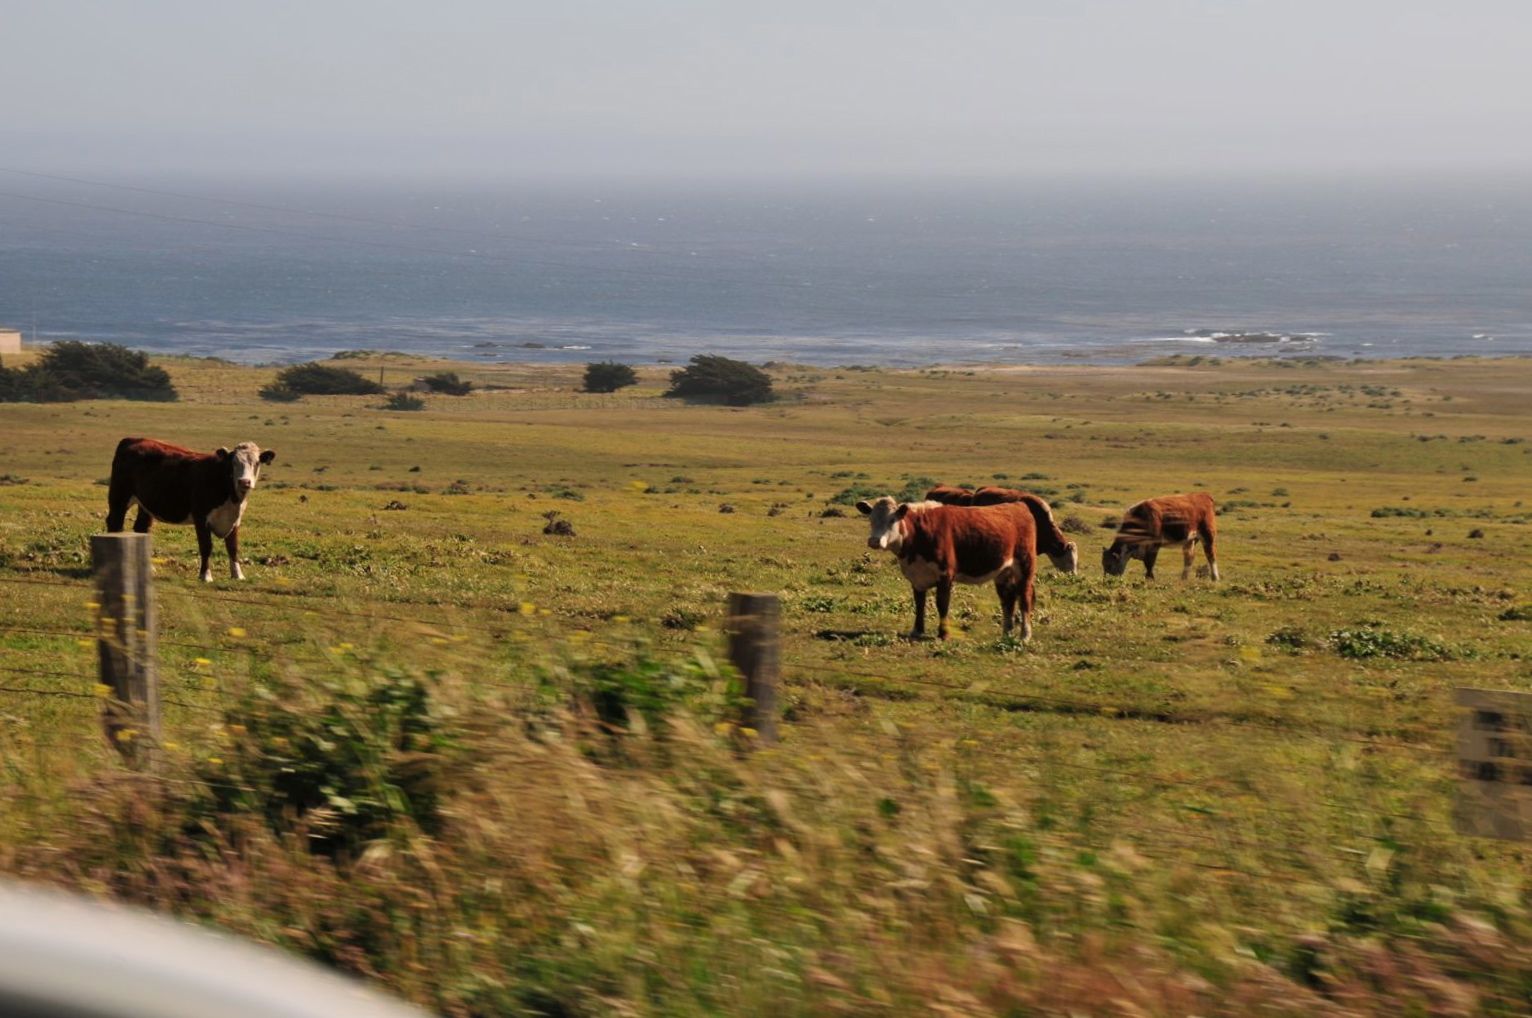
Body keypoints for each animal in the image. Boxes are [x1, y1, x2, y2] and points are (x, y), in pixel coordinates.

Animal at [106, 438, 276, 582]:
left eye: (256, 463)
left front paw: (238, 574)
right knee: (114, 523)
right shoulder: (200, 517)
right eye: (233, 463)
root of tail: (132, 440)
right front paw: (205, 575)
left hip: (146, 504)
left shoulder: (235, 520)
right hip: (119, 497)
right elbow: (206, 547)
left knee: (141, 528)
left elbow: (233, 547)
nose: (244, 482)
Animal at [855, 497, 1037, 642]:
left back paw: (1025, 635)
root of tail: (1018, 505)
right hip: (1003, 572)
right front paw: (917, 631)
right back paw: (1006, 633)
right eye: (871, 519)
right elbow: (919, 604)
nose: (874, 541)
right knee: (1007, 600)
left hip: (1025, 567)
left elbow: (942, 604)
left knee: (1024, 598)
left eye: (892, 520)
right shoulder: (917, 577)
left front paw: (943, 634)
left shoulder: (945, 575)